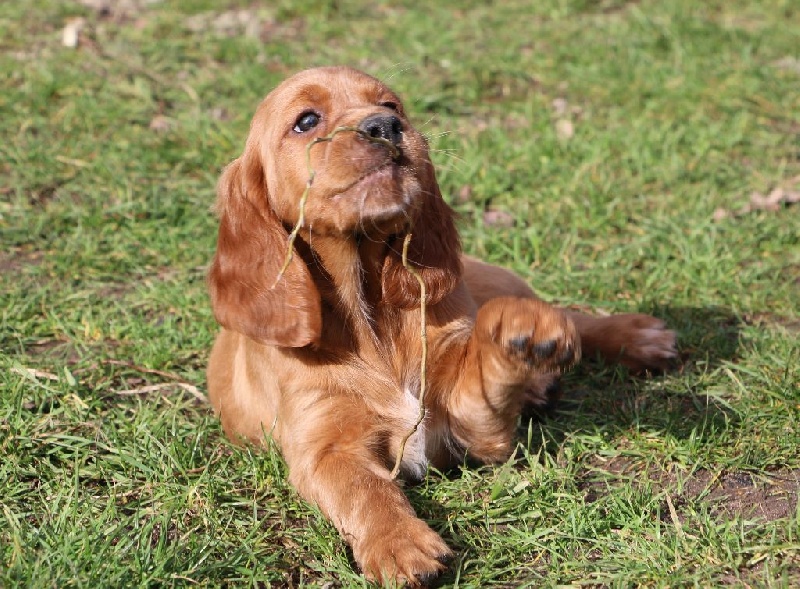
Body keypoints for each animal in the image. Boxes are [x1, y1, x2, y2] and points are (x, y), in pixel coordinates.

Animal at [206, 65, 676, 584]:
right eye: (306, 121)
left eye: (391, 105)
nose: (385, 126)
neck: (371, 315)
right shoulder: (322, 446)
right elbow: (363, 489)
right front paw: (400, 544)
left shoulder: (470, 426)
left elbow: (482, 372)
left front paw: (522, 331)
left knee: (566, 315)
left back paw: (632, 337)